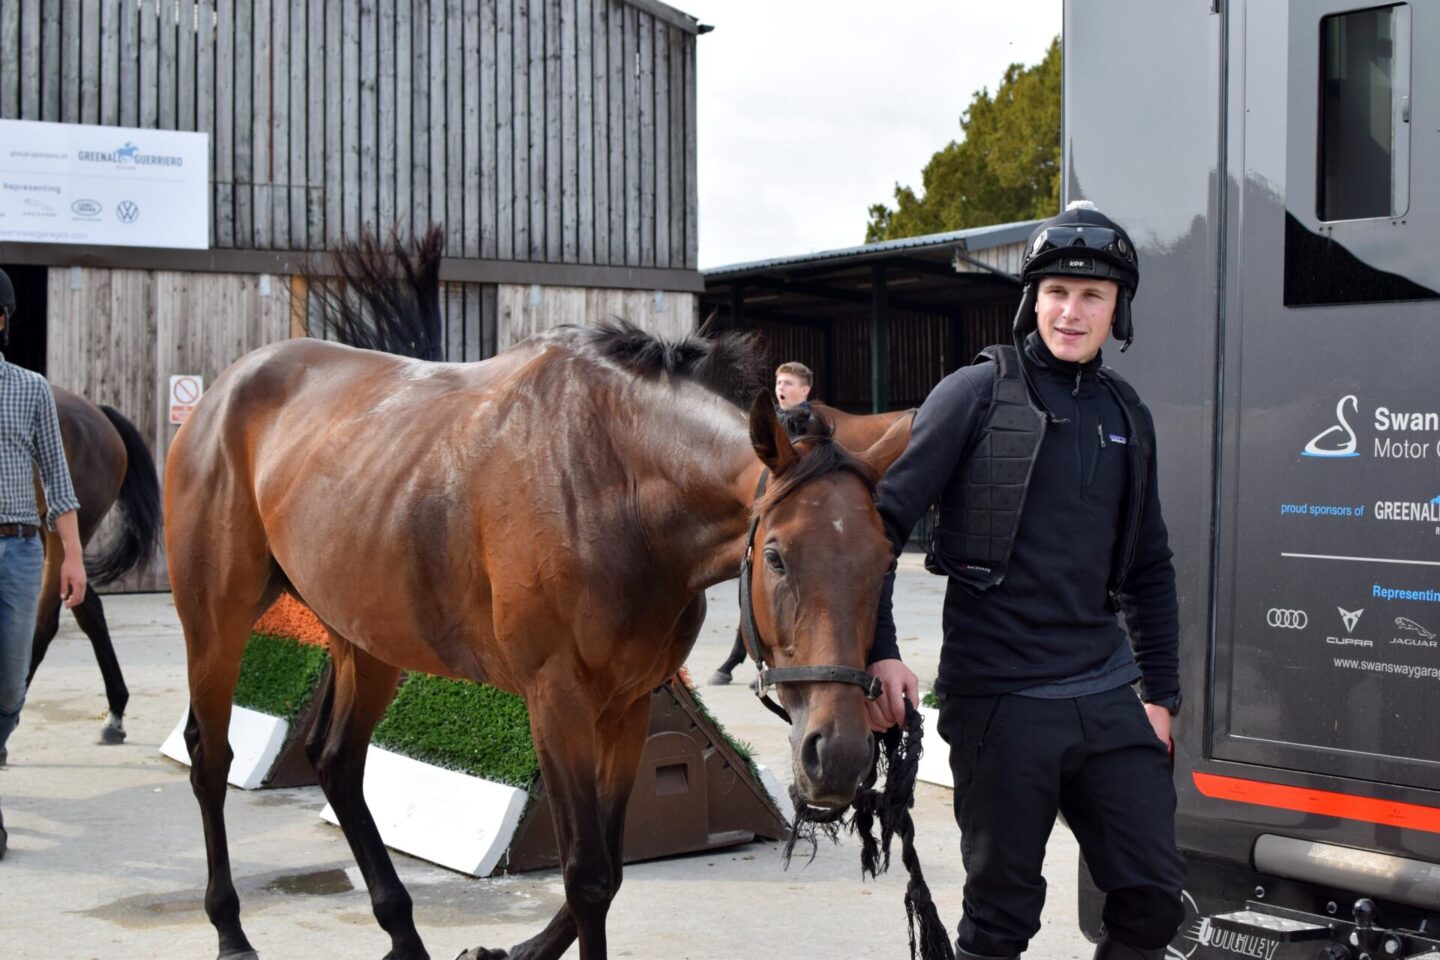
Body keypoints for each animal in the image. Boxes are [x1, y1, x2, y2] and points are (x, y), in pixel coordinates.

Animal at [165, 314, 912, 960]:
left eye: (884, 558)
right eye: (777, 557)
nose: (839, 757)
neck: (615, 485)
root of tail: (222, 393)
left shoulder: (629, 706)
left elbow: (610, 868)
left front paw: (514, 949)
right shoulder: (558, 702)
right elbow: (586, 874)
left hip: (364, 636)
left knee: (337, 760)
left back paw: (403, 935)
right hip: (217, 617)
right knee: (211, 756)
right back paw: (231, 931)